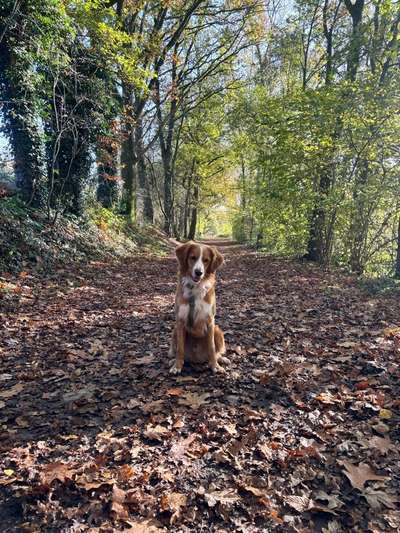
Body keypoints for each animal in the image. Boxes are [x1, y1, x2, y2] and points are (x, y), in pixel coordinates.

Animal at [169, 241, 227, 374]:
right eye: (193, 258)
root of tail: (197, 359)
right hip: (175, 331)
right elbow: (180, 348)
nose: (198, 272)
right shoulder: (180, 321)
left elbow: (212, 347)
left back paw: (221, 359)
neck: (195, 289)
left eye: (206, 260)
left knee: (217, 352)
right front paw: (177, 366)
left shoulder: (210, 321)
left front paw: (215, 366)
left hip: (218, 330)